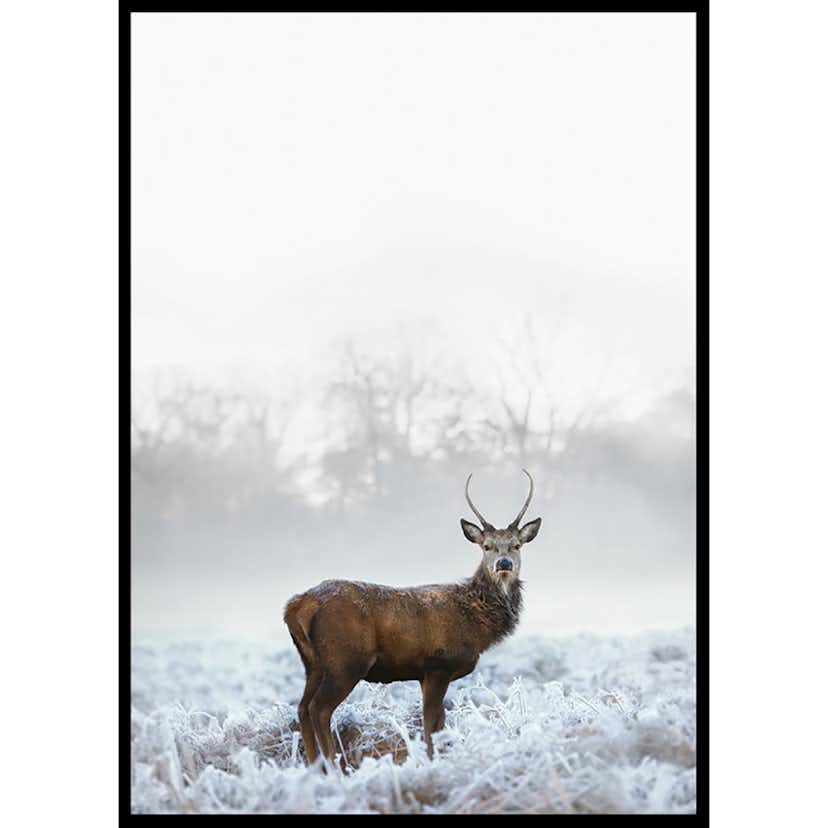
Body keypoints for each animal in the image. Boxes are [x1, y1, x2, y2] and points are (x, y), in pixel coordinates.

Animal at [283, 469, 542, 766]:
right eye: (487, 546)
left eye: (516, 545)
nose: (504, 564)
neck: (477, 625)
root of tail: (297, 606)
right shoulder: (438, 664)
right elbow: (430, 724)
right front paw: (431, 762)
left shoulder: (425, 673)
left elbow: (439, 722)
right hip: (346, 660)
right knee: (319, 709)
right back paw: (335, 765)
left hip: (313, 664)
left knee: (302, 708)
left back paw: (316, 767)